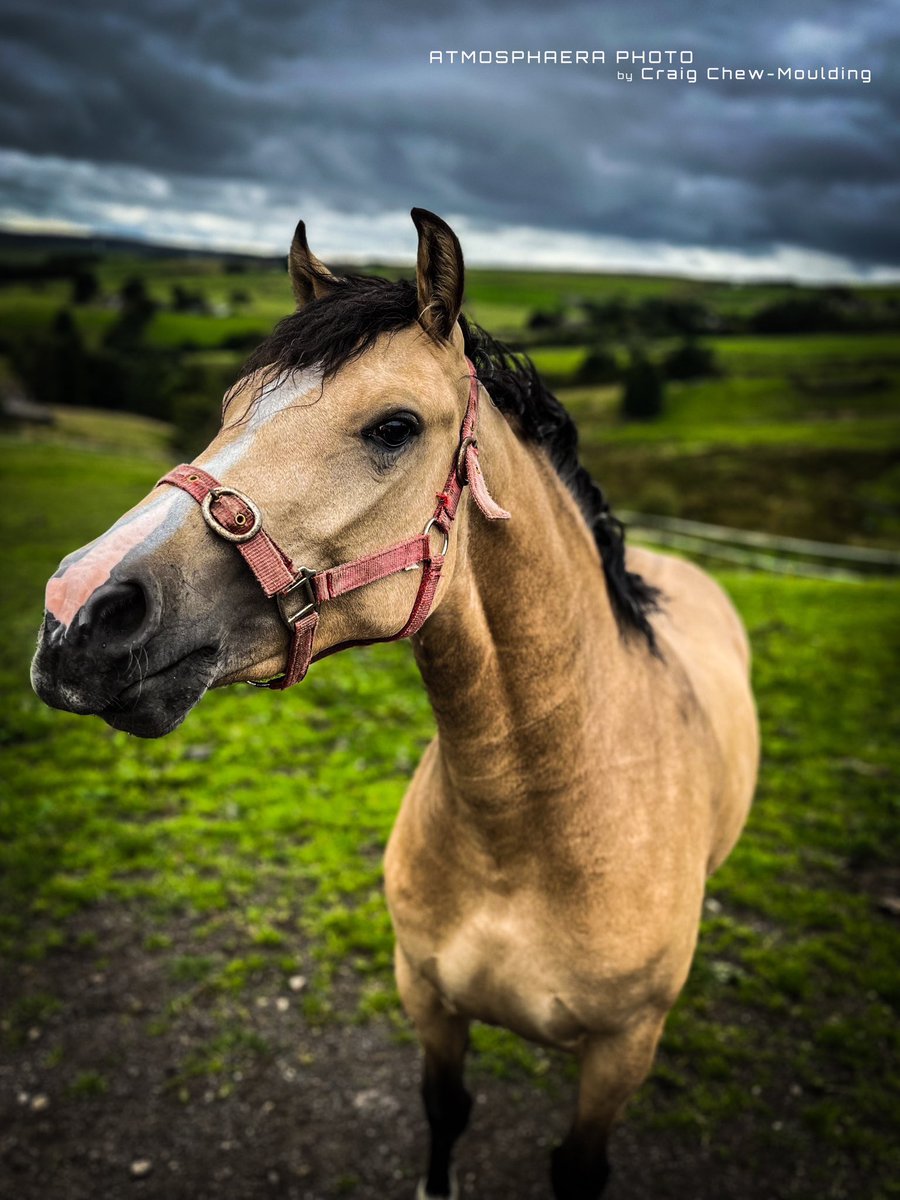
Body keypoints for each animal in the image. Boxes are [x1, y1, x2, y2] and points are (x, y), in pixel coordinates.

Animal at [31, 208, 758, 1200]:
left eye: (393, 427)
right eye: (229, 404)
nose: (79, 610)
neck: (531, 830)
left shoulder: (620, 1050)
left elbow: (578, 1164)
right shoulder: (429, 995)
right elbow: (444, 1111)